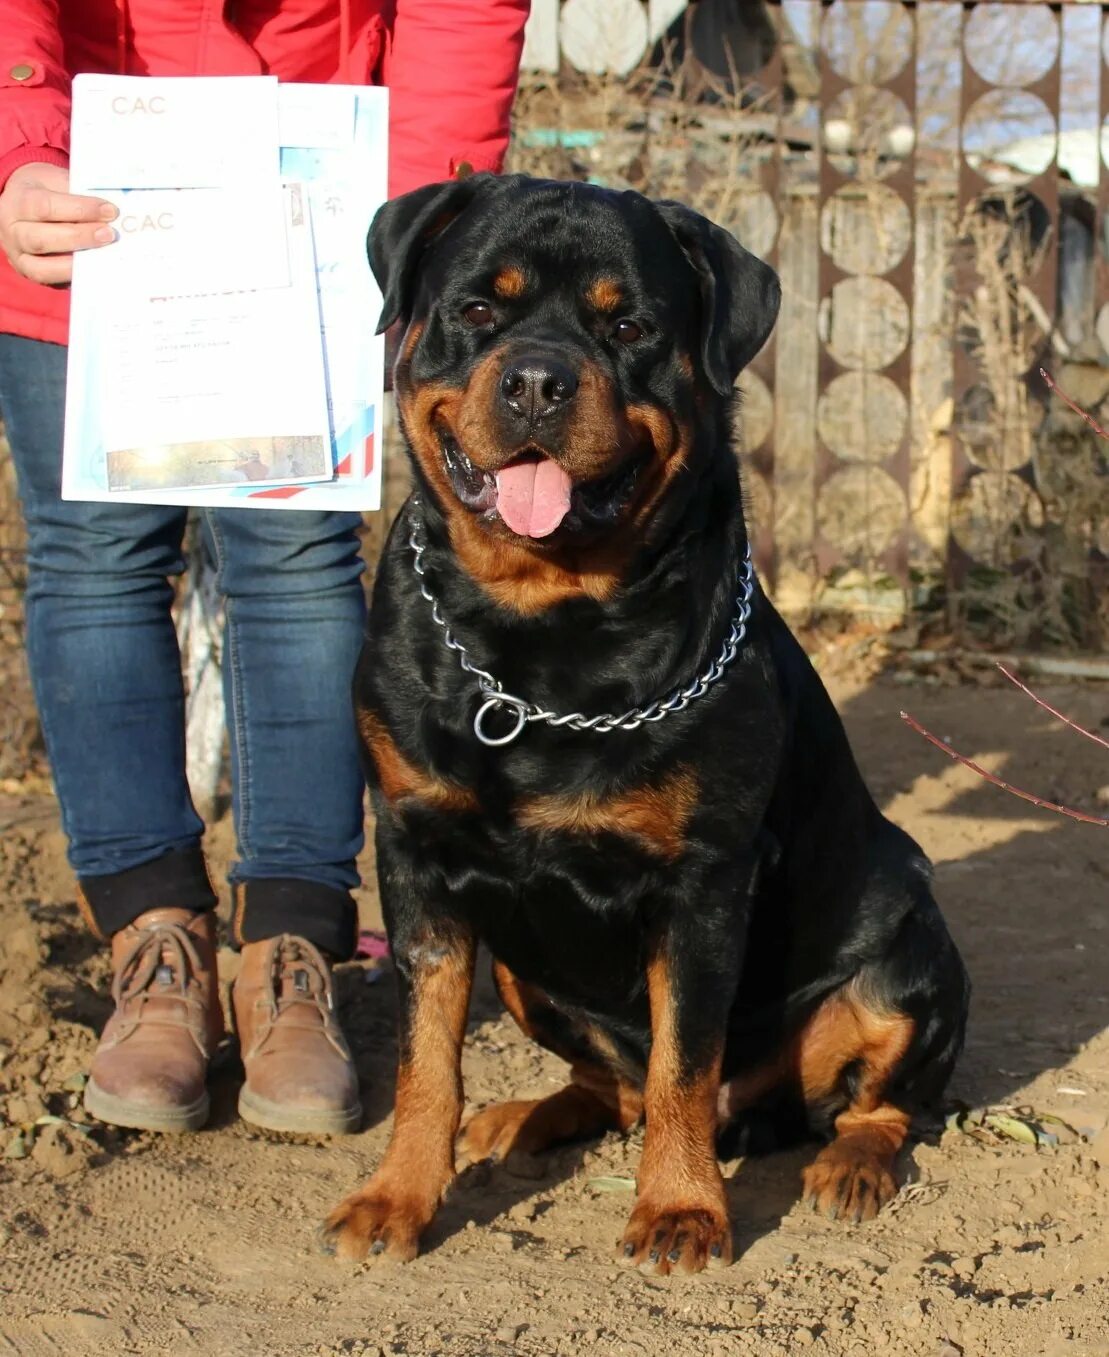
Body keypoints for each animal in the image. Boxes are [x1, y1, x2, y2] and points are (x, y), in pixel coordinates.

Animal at [321, 172, 966, 1270]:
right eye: (479, 308)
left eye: (627, 326)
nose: (537, 381)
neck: (536, 630)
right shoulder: (410, 854)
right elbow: (424, 1056)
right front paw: (396, 1196)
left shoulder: (702, 880)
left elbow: (682, 1062)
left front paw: (678, 1208)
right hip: (523, 975)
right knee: (605, 1084)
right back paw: (522, 1119)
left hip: (909, 943)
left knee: (871, 1099)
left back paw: (848, 1164)